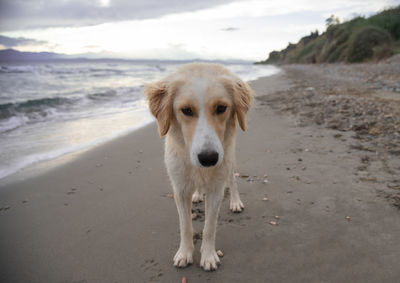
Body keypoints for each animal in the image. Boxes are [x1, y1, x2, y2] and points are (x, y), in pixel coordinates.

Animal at [144, 63, 252, 272]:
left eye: (221, 108)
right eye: (186, 110)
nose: (208, 158)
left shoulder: (216, 189)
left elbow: (209, 227)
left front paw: (208, 256)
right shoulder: (179, 189)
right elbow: (185, 226)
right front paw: (185, 253)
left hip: (229, 162)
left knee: (233, 182)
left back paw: (235, 202)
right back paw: (197, 195)